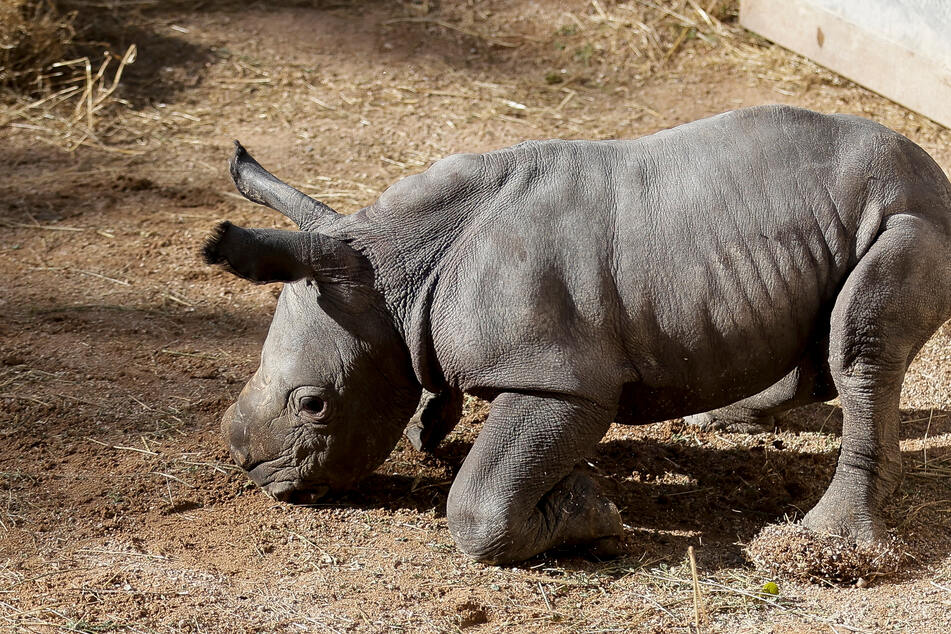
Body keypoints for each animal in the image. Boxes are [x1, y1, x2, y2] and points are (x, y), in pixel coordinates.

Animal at [204, 105, 951, 564]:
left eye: (314, 406)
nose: (251, 466)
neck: (392, 270)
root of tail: (932, 172)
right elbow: (435, 388)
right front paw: (428, 431)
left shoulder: (564, 382)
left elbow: (477, 507)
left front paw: (592, 513)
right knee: (823, 345)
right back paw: (719, 417)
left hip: (905, 216)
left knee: (859, 347)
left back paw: (827, 544)